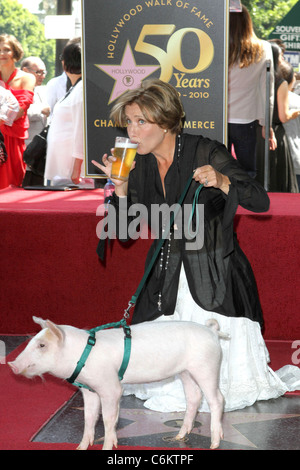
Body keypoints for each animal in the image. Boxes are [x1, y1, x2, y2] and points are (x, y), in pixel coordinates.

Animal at [8, 318, 226, 450]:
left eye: (42, 345)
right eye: (30, 342)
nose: (11, 364)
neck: (81, 355)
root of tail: (212, 331)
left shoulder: (110, 387)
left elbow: (108, 419)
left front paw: (107, 447)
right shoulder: (89, 390)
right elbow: (89, 418)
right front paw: (80, 447)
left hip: (206, 367)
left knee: (217, 399)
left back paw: (215, 443)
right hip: (186, 372)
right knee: (194, 397)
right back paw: (179, 437)